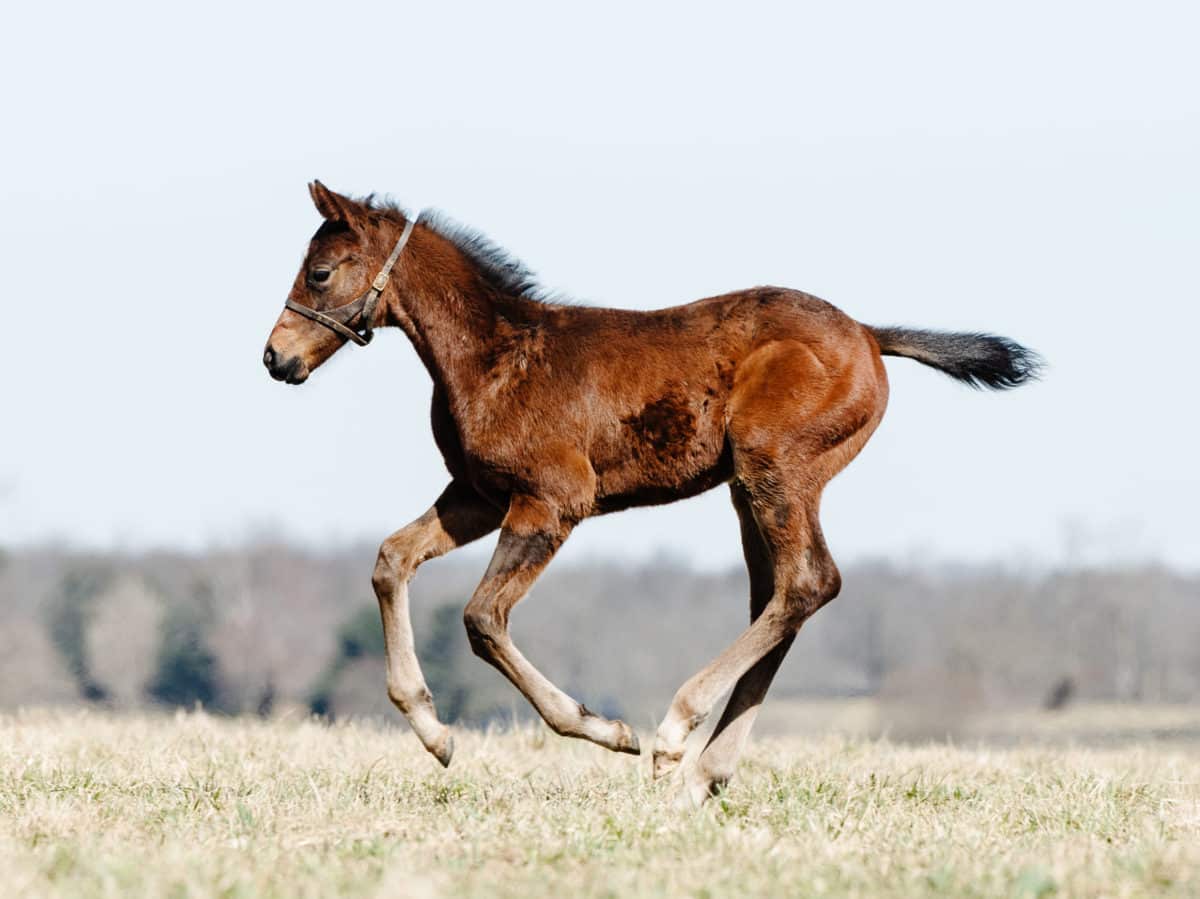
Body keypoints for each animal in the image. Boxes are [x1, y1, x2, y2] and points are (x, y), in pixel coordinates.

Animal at [265, 180, 1041, 801]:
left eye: (320, 272)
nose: (275, 357)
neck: (495, 356)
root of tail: (869, 336)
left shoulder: (552, 501)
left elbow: (482, 619)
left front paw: (605, 729)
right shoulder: (479, 495)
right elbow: (391, 558)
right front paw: (433, 732)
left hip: (777, 467)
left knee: (809, 582)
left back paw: (675, 736)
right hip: (749, 491)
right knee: (781, 596)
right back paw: (706, 774)